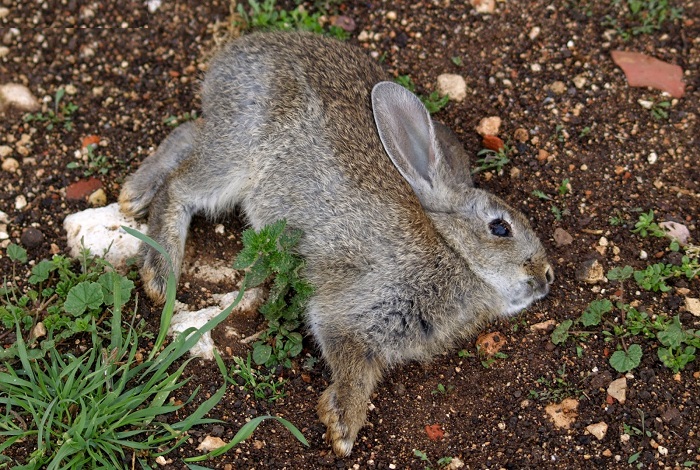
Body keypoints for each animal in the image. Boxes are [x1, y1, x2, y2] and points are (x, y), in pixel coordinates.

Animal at [117, 31, 552, 458]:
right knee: (180, 187)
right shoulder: (349, 309)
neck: (453, 251)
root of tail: (234, 52)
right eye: (500, 228)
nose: (546, 275)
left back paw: (134, 194)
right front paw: (343, 427)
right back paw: (158, 270)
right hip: (236, 159)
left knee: (190, 131)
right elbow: (350, 365)